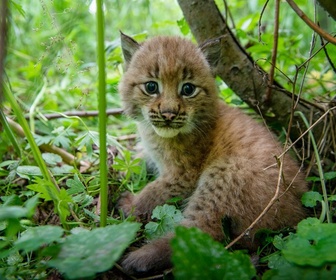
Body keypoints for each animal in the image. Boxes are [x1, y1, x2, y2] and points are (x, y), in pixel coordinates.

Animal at [116, 32, 308, 274]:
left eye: (188, 89)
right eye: (151, 87)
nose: (168, 114)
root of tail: (298, 213)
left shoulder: (182, 176)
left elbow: (153, 192)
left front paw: (132, 204)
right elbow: (143, 158)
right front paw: (124, 167)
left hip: (224, 175)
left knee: (203, 232)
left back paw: (139, 258)